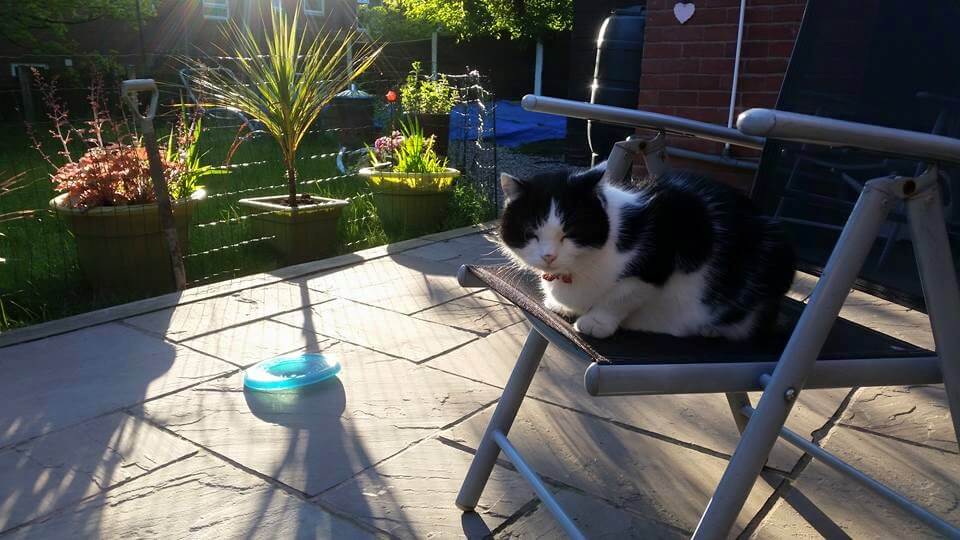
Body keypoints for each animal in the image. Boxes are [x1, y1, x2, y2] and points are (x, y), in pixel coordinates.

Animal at [496, 165, 796, 342]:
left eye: (569, 232)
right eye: (531, 233)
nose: (549, 256)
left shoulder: (664, 249)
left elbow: (623, 294)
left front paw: (597, 321)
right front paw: (562, 306)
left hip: (779, 249)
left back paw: (716, 330)